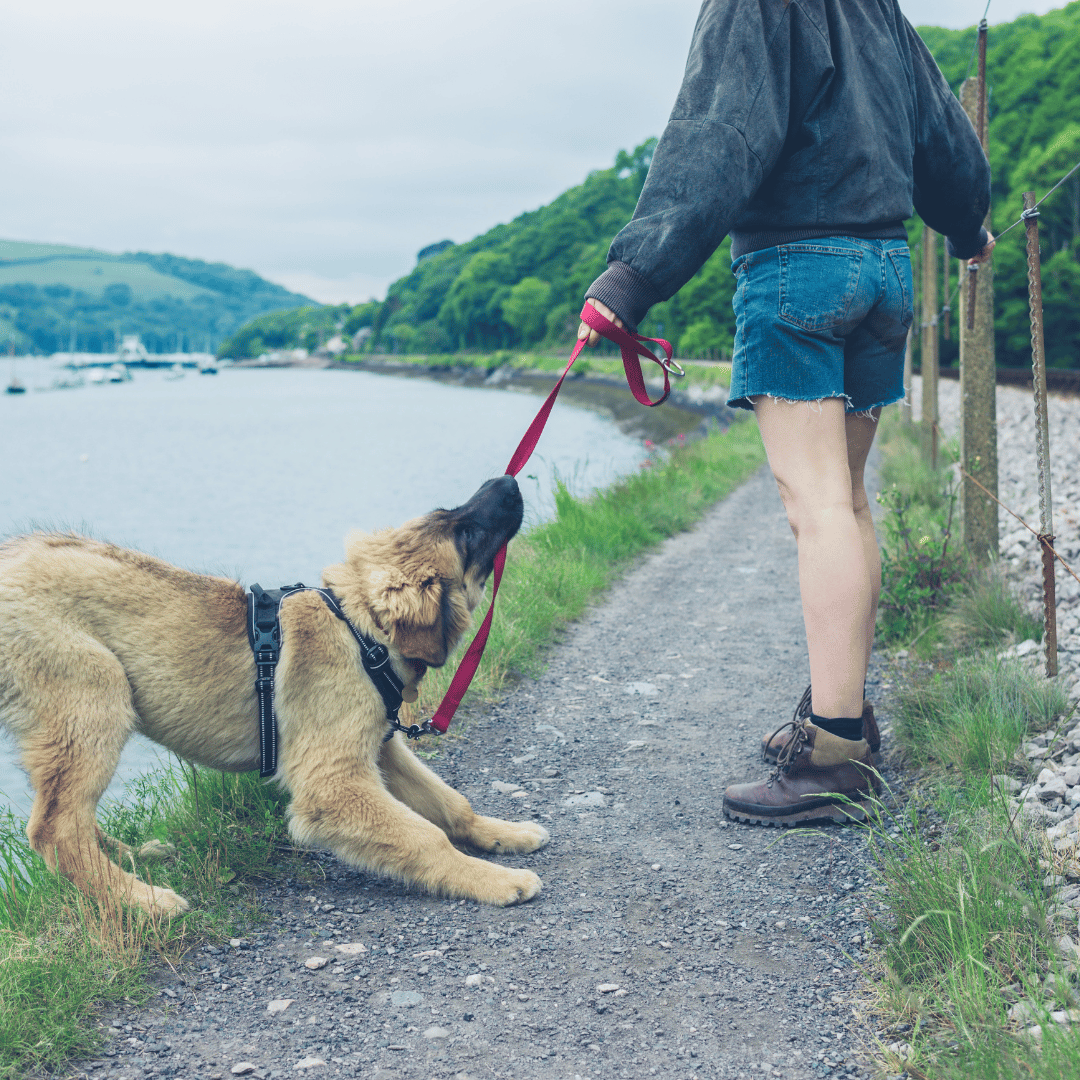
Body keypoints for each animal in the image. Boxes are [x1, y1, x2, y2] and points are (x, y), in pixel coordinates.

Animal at [0, 477, 548, 915]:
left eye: (449, 512)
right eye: (467, 536)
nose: (507, 482)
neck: (360, 631)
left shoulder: (382, 748)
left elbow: (451, 803)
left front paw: (504, 834)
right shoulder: (333, 782)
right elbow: (426, 836)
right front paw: (494, 880)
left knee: (72, 815)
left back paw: (134, 859)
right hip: (95, 694)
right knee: (55, 828)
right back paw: (139, 900)